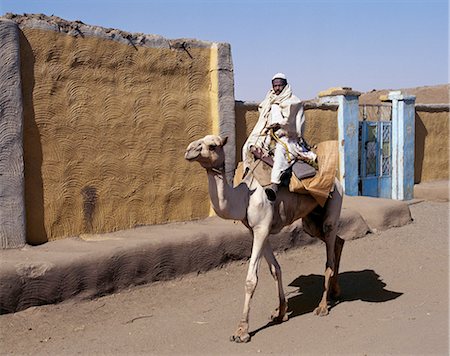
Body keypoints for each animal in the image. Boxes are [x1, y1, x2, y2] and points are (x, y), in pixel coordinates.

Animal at [184, 134, 344, 342]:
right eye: (197, 140)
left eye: (212, 146)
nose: (189, 150)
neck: (244, 197)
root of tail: (338, 182)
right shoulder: (258, 230)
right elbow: (275, 269)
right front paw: (280, 312)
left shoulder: (261, 228)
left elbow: (251, 280)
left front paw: (241, 331)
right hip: (310, 221)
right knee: (338, 241)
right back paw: (335, 291)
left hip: (333, 207)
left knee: (329, 255)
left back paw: (323, 306)